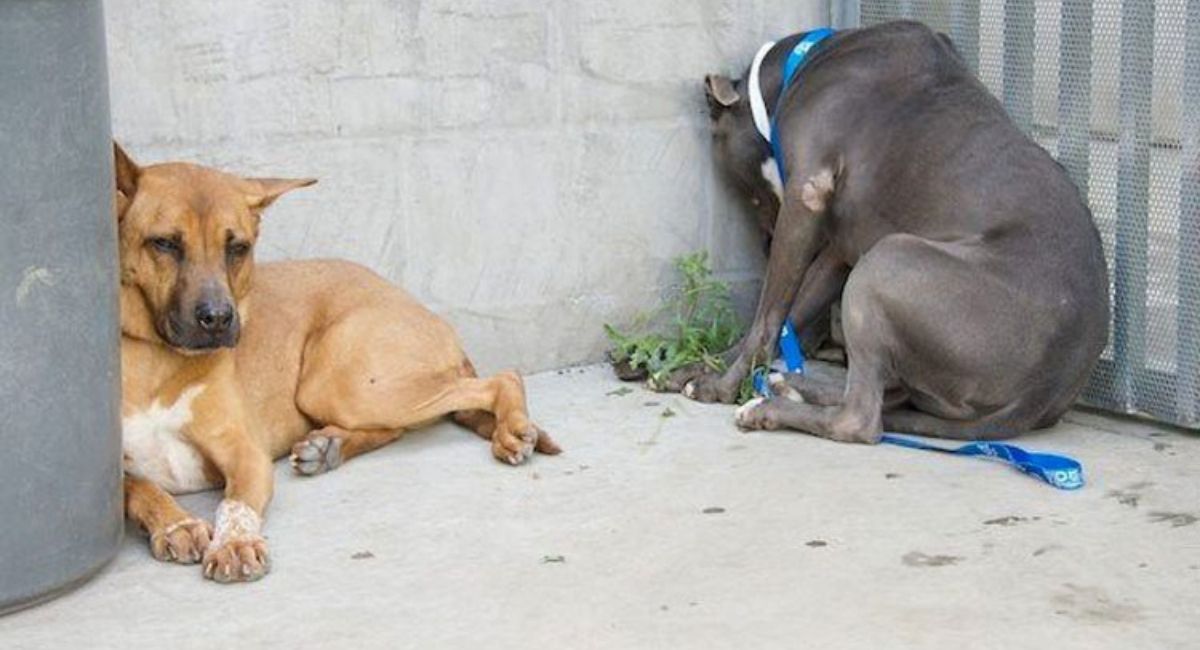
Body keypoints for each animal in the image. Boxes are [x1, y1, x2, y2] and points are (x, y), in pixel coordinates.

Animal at [115, 146, 556, 585]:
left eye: (237, 247)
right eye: (164, 244)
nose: (220, 319)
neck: (156, 357)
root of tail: (418, 305)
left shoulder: (247, 457)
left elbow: (234, 506)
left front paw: (235, 542)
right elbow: (139, 488)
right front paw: (177, 523)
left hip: (341, 387)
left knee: (502, 379)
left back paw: (512, 428)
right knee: (397, 426)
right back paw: (328, 447)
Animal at [686, 22, 1104, 446]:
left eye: (750, 194)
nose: (765, 245)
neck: (801, 66)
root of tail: (1039, 393)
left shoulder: (807, 194)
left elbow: (769, 317)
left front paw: (720, 386)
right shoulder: (841, 246)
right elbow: (797, 303)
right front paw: (700, 368)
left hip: (888, 262)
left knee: (861, 417)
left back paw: (770, 407)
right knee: (888, 396)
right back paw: (792, 385)